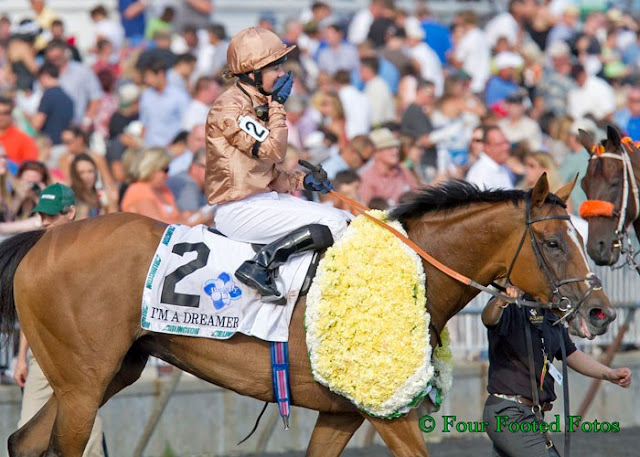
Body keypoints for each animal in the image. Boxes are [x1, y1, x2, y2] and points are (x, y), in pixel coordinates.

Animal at [0, 175, 615, 457]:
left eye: (579, 236)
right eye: (554, 243)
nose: (601, 311)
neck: (415, 266)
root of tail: (41, 241)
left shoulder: (341, 411)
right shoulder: (387, 411)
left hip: (107, 373)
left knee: (25, 441)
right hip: (84, 384)